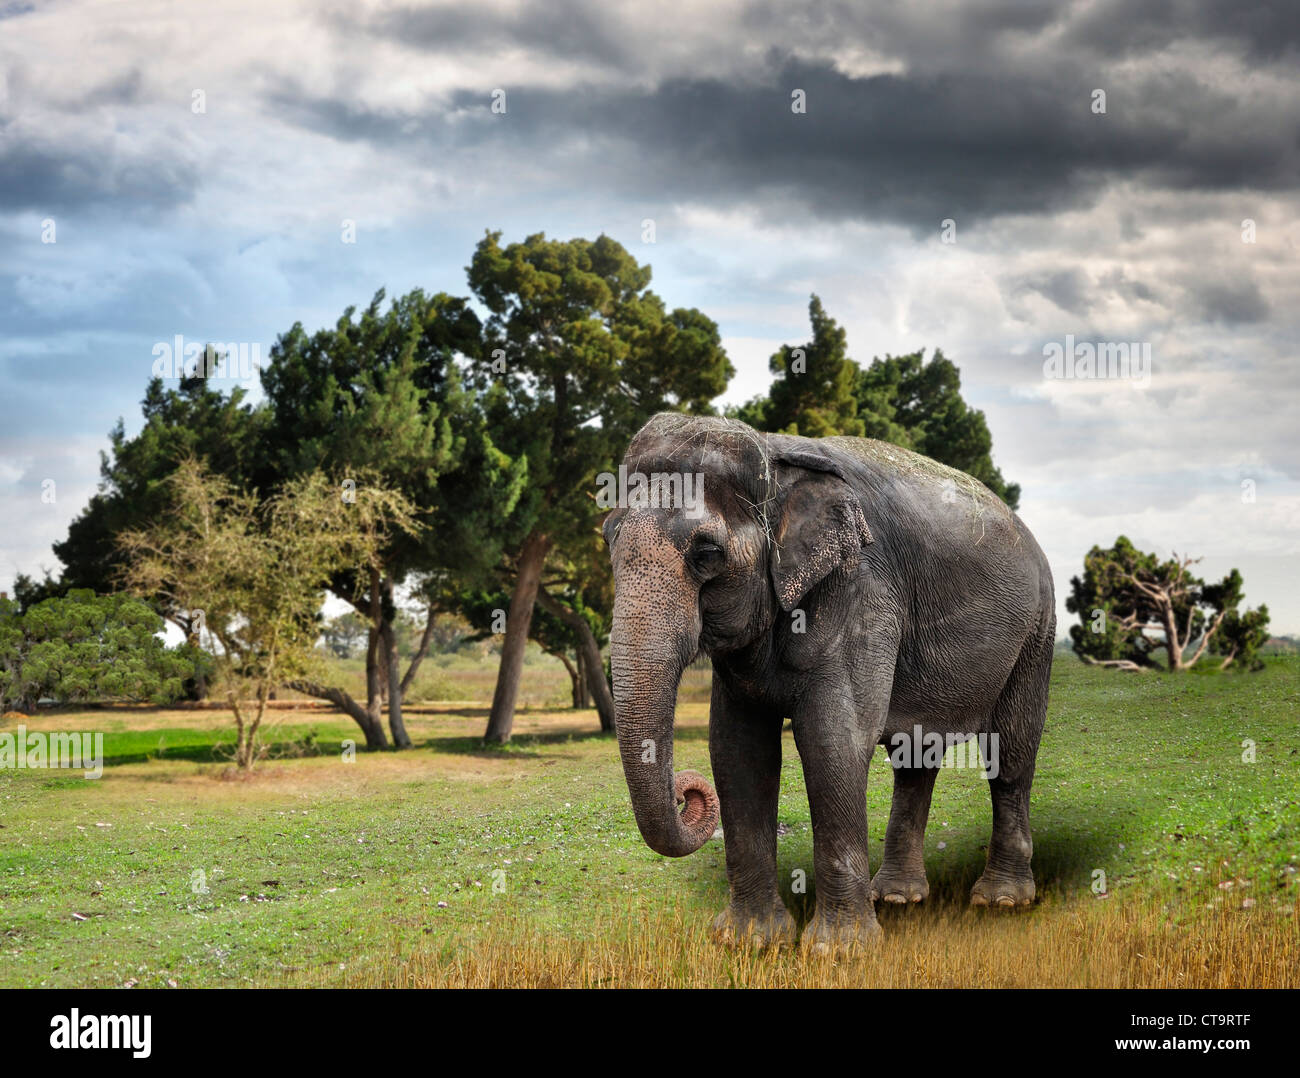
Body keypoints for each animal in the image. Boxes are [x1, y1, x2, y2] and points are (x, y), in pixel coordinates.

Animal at [603, 413, 1055, 951]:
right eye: (608, 541)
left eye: (707, 554)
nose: (685, 792)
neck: (775, 453)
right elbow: (737, 748)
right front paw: (748, 941)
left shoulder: (862, 591)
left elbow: (833, 739)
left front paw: (838, 952)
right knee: (915, 755)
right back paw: (898, 897)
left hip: (1036, 633)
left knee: (1011, 751)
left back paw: (1001, 900)